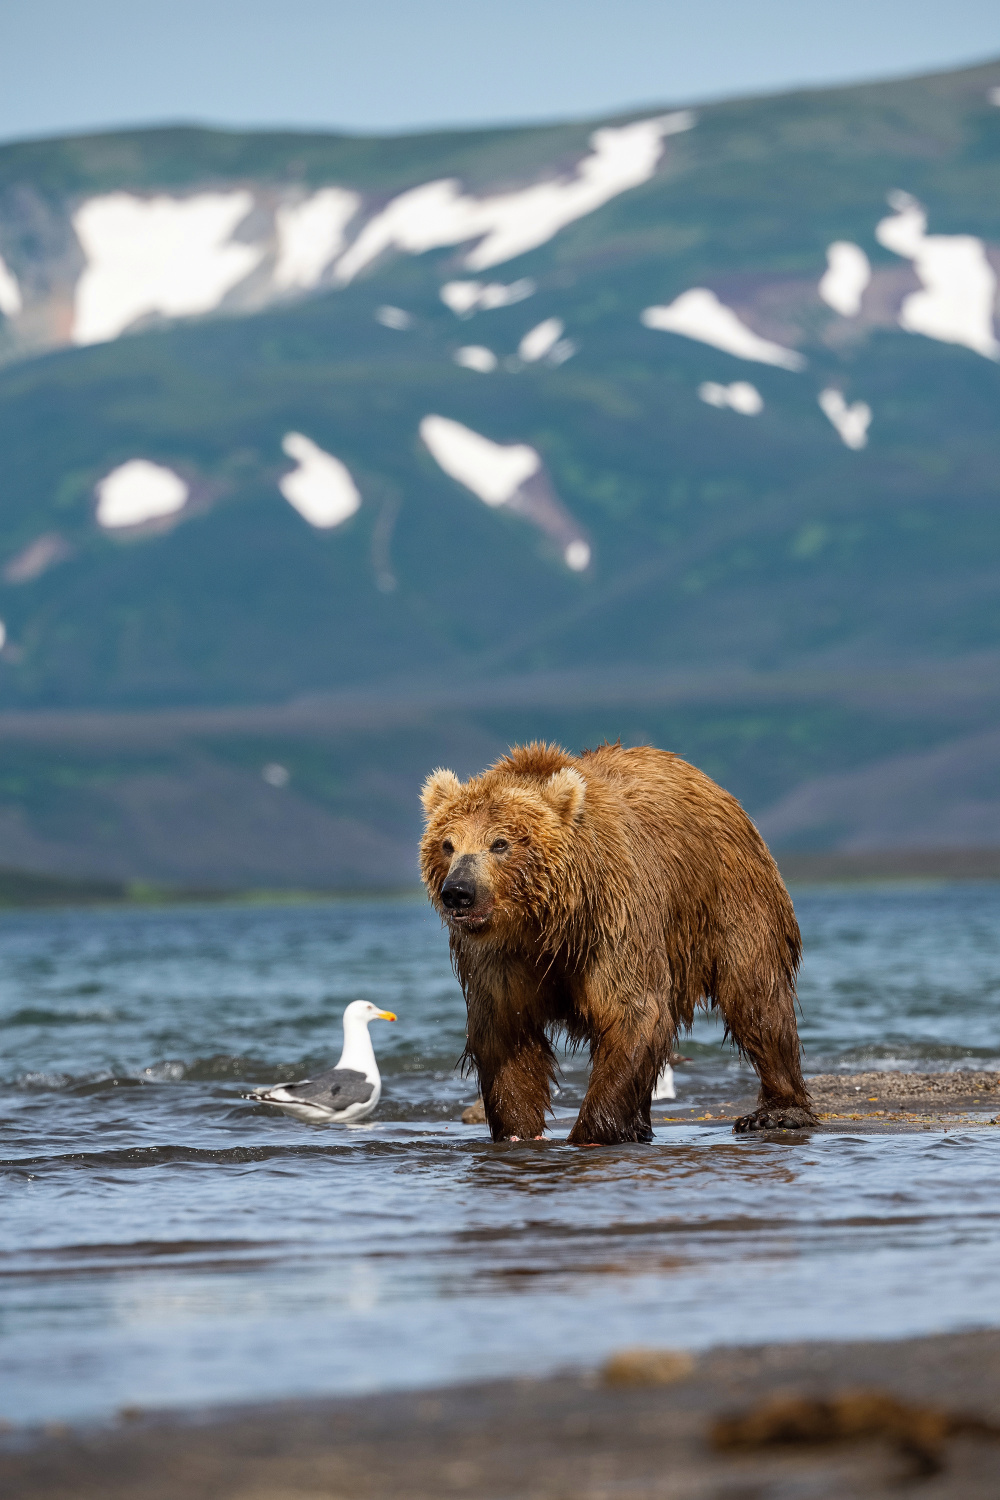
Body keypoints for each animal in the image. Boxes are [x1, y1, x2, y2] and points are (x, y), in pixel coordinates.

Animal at [419, 741, 815, 1146]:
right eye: (448, 844)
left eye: (500, 843)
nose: (459, 892)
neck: (547, 922)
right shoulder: (500, 956)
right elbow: (505, 1031)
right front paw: (519, 1132)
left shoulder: (613, 920)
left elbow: (632, 1011)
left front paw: (590, 1130)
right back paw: (640, 1126)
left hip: (730, 895)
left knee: (754, 995)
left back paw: (775, 1113)